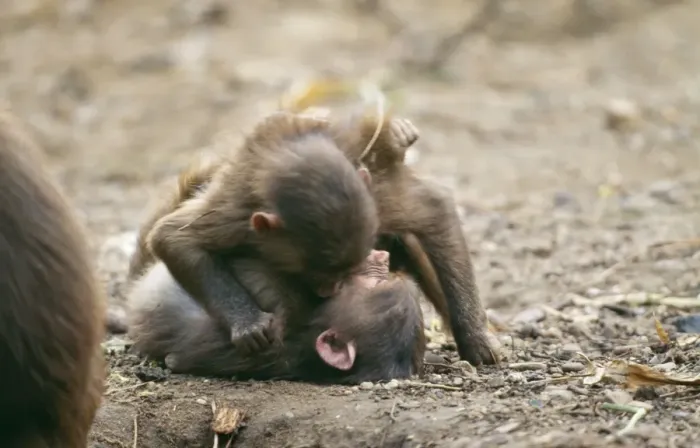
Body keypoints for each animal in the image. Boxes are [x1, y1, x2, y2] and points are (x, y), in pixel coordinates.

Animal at [146, 113, 381, 352]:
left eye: (346, 274)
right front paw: (246, 321)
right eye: (321, 275)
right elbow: (173, 237)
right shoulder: (236, 217)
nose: (330, 291)